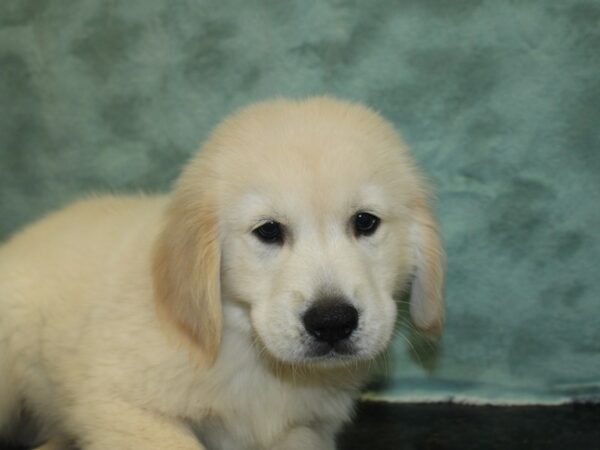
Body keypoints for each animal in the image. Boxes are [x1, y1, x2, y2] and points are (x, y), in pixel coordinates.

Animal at [0, 96, 440, 448]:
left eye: (365, 222)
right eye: (268, 231)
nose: (332, 321)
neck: (244, 344)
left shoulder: (307, 429)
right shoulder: (119, 405)